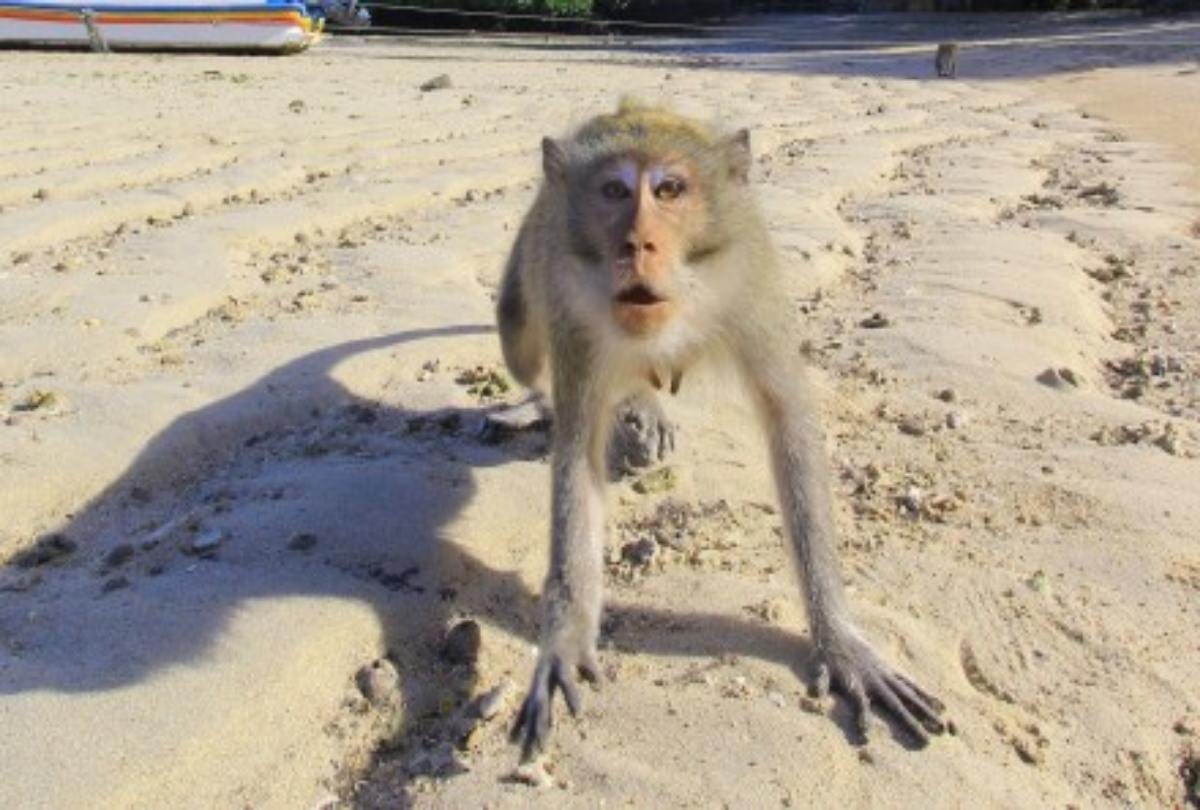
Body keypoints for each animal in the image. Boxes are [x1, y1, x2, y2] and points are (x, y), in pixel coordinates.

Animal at [497, 100, 945, 762]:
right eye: (614, 191)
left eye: (669, 189)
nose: (637, 242)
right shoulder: (569, 302)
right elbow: (577, 456)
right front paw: (565, 638)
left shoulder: (750, 282)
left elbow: (790, 425)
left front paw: (839, 640)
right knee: (520, 344)